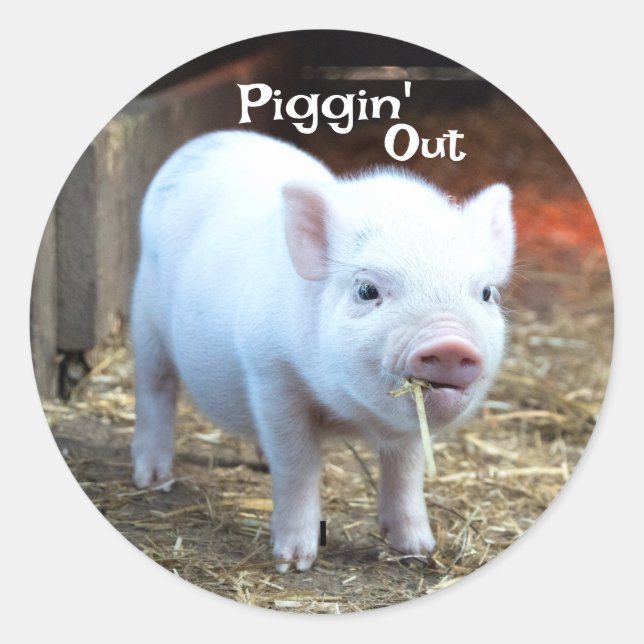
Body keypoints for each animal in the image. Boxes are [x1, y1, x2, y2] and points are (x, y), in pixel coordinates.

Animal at [131, 130, 514, 573]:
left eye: (486, 293)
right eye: (367, 290)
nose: (449, 342)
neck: (350, 415)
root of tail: (209, 140)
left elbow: (406, 470)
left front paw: (419, 550)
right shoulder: (270, 374)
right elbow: (297, 465)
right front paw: (293, 562)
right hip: (145, 320)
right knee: (155, 388)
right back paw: (152, 480)